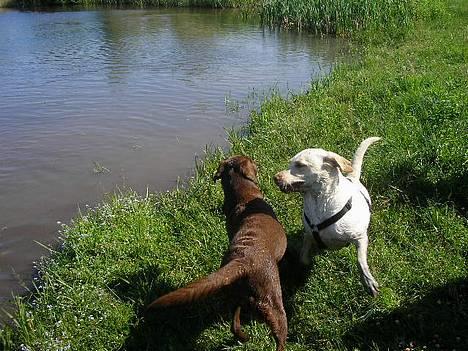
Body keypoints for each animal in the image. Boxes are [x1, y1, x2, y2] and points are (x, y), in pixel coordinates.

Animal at [146, 155, 288, 351]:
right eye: (252, 161)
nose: (258, 162)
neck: (244, 197)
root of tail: (242, 261)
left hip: (234, 296)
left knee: (234, 325)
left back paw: (244, 338)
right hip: (271, 299)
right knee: (278, 332)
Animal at [274, 138, 380, 296]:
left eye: (300, 165)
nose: (275, 178)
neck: (319, 202)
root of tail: (352, 179)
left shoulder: (360, 238)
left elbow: (360, 261)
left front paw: (368, 281)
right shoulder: (308, 235)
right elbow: (303, 257)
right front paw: (304, 268)